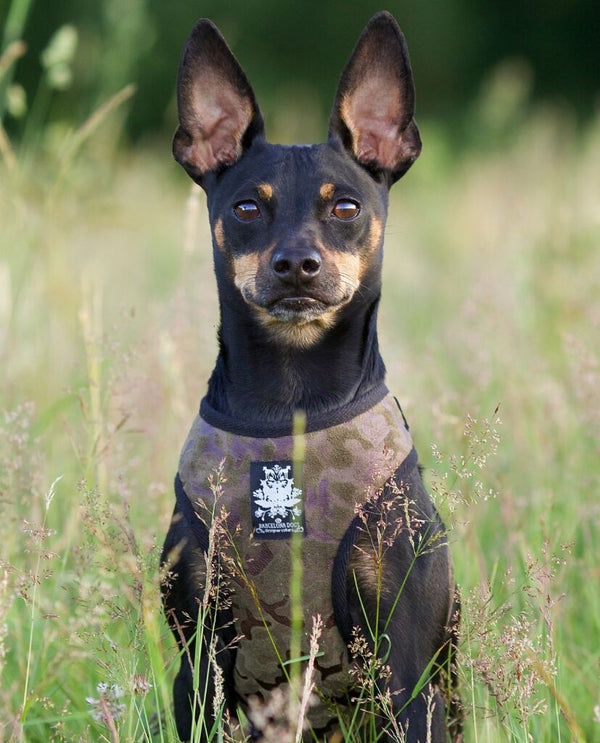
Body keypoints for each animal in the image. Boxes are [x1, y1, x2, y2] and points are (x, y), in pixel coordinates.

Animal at [162, 13, 462, 743]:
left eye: (346, 208)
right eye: (246, 208)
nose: (297, 263)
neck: (290, 404)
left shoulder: (406, 664)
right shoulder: (198, 659)